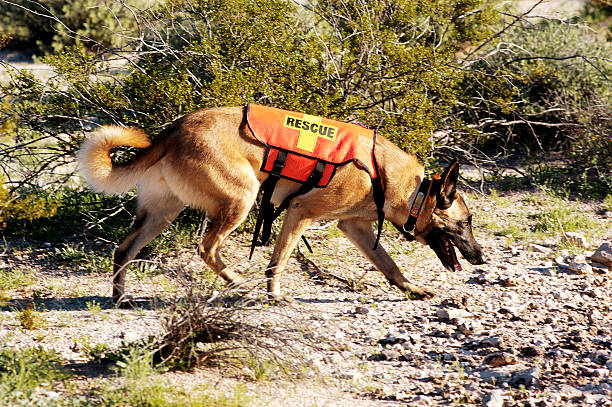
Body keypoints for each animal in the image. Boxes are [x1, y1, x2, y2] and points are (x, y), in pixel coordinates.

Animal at [79, 107, 486, 304]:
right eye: (466, 223)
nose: (482, 258)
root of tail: (173, 130)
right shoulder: (300, 214)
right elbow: (277, 263)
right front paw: (274, 295)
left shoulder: (355, 228)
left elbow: (390, 265)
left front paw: (411, 290)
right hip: (240, 199)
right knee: (207, 248)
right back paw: (237, 283)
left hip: (161, 214)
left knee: (124, 250)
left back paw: (121, 298)